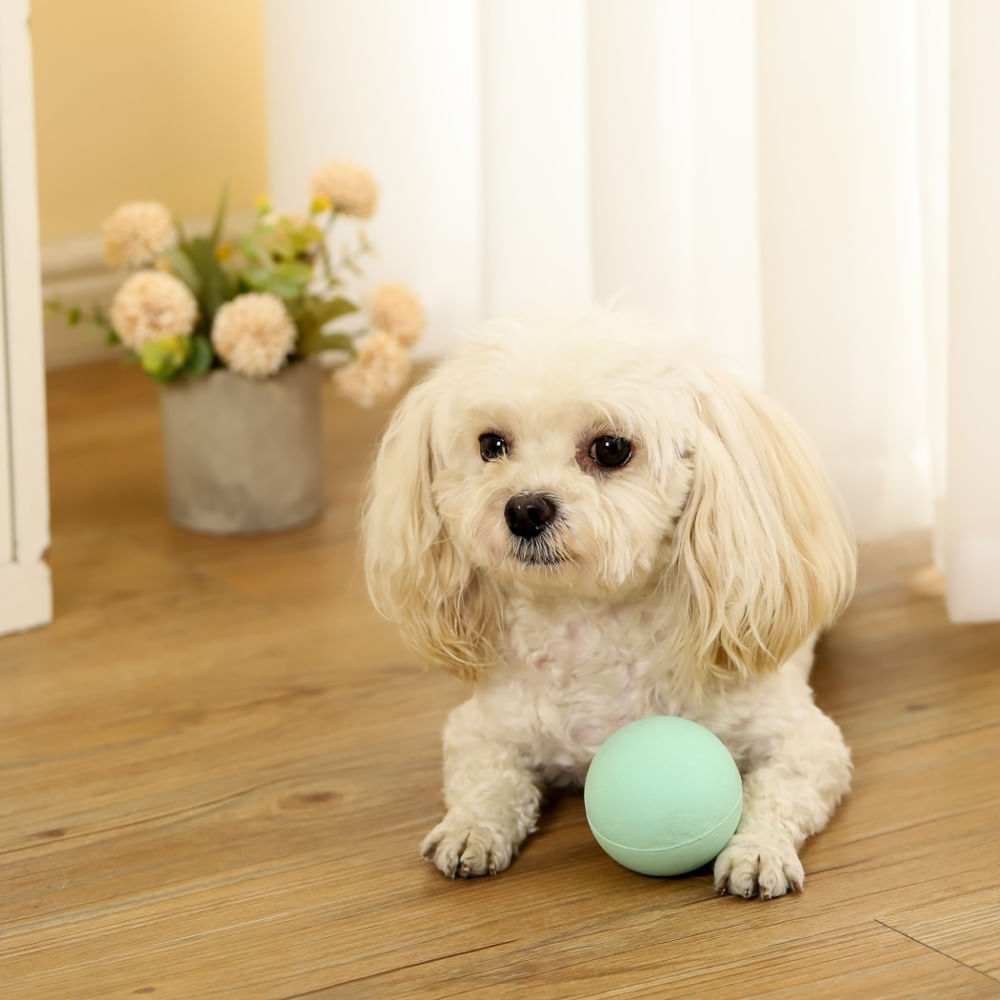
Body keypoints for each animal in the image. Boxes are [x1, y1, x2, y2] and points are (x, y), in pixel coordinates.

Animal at [364, 302, 856, 900]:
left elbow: (783, 790)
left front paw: (758, 850)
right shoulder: (479, 730)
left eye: (610, 448)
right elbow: (489, 782)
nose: (524, 509)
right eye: (491, 445)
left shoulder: (806, 740)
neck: (589, 626)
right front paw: (470, 829)